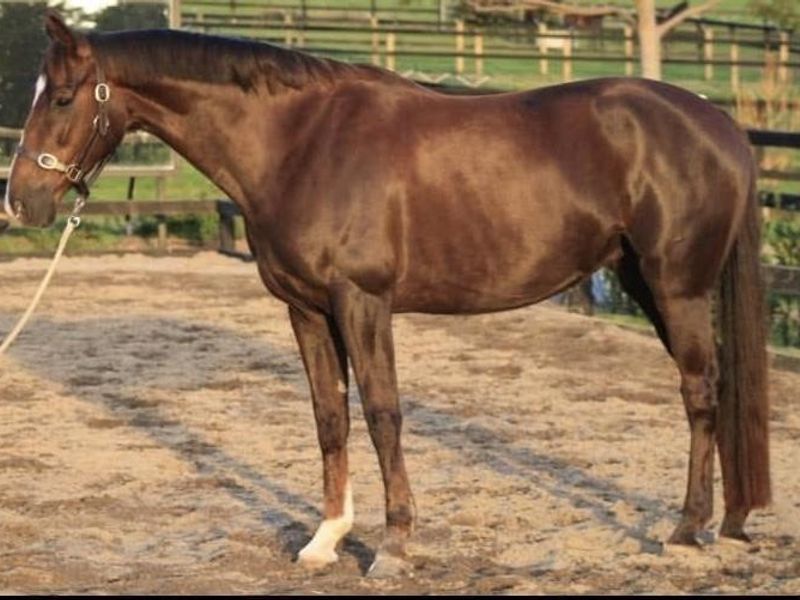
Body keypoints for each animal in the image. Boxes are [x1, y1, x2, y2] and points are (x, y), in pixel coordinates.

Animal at [4, 11, 770, 578]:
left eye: (64, 98)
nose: (21, 203)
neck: (299, 143)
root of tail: (721, 125)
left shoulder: (362, 302)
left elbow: (381, 414)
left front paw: (395, 546)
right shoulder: (306, 309)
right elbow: (329, 417)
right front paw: (326, 539)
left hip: (677, 286)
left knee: (700, 393)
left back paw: (686, 529)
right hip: (646, 284)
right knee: (717, 390)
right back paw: (728, 521)